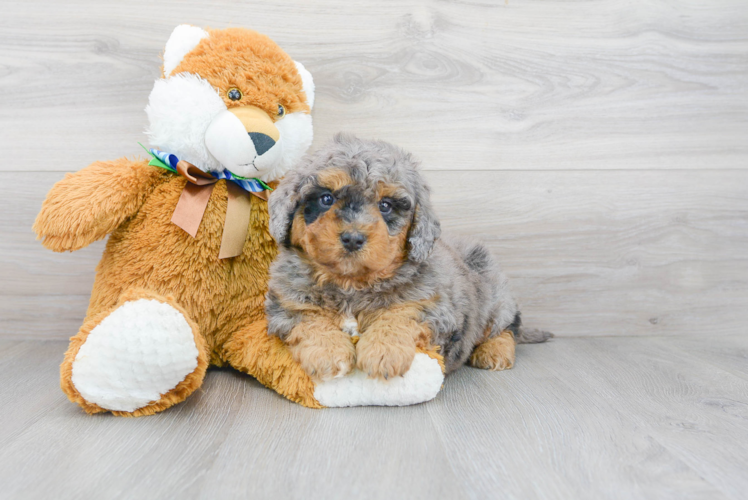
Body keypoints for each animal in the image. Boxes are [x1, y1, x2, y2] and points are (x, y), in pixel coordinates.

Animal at [266, 135, 552, 380]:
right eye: (326, 198)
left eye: (385, 205)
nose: (353, 238)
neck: (352, 284)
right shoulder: (288, 305)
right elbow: (311, 320)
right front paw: (328, 352)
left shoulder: (431, 305)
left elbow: (400, 315)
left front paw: (383, 352)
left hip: (494, 292)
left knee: (507, 326)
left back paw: (495, 352)